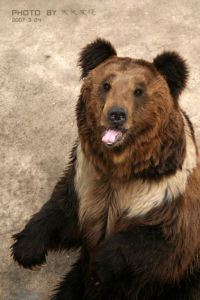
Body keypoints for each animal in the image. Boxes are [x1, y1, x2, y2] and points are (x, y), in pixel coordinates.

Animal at [11, 38, 200, 300]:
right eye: (106, 85)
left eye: (139, 91)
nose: (116, 114)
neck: (119, 168)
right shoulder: (85, 177)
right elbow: (62, 210)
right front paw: (27, 250)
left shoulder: (165, 189)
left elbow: (165, 240)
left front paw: (102, 265)